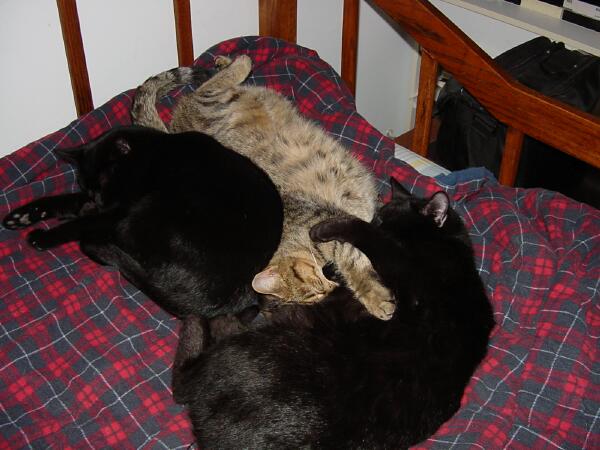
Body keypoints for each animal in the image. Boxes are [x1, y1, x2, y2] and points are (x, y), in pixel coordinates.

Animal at [2, 125, 284, 318]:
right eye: (86, 184)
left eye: (103, 182)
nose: (96, 199)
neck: (157, 155)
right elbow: (66, 201)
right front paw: (23, 215)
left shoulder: (120, 210)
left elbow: (79, 223)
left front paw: (44, 237)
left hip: (147, 209)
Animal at [132, 55, 395, 320]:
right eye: (313, 295)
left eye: (315, 286)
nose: (330, 287)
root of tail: (172, 133)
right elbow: (356, 255)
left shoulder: (329, 221)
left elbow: (354, 263)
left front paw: (375, 297)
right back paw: (227, 63)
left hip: (212, 103)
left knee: (207, 86)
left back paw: (236, 62)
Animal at [170, 178, 495, 449]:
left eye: (382, 221)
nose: (373, 218)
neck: (451, 248)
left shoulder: (402, 270)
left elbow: (364, 235)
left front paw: (328, 229)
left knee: (185, 372)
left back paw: (203, 318)